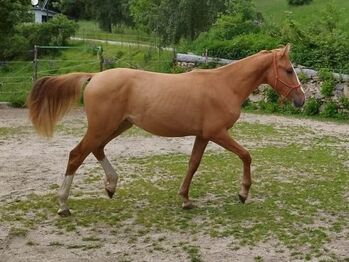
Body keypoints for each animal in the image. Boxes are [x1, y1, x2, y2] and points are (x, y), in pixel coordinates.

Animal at [27, 44, 304, 216]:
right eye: (289, 70)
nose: (301, 100)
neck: (225, 85)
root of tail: (95, 76)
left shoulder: (203, 135)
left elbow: (193, 164)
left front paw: (185, 199)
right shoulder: (218, 133)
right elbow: (246, 155)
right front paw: (243, 193)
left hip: (117, 125)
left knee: (97, 149)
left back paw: (111, 186)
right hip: (102, 126)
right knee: (76, 155)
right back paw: (63, 205)